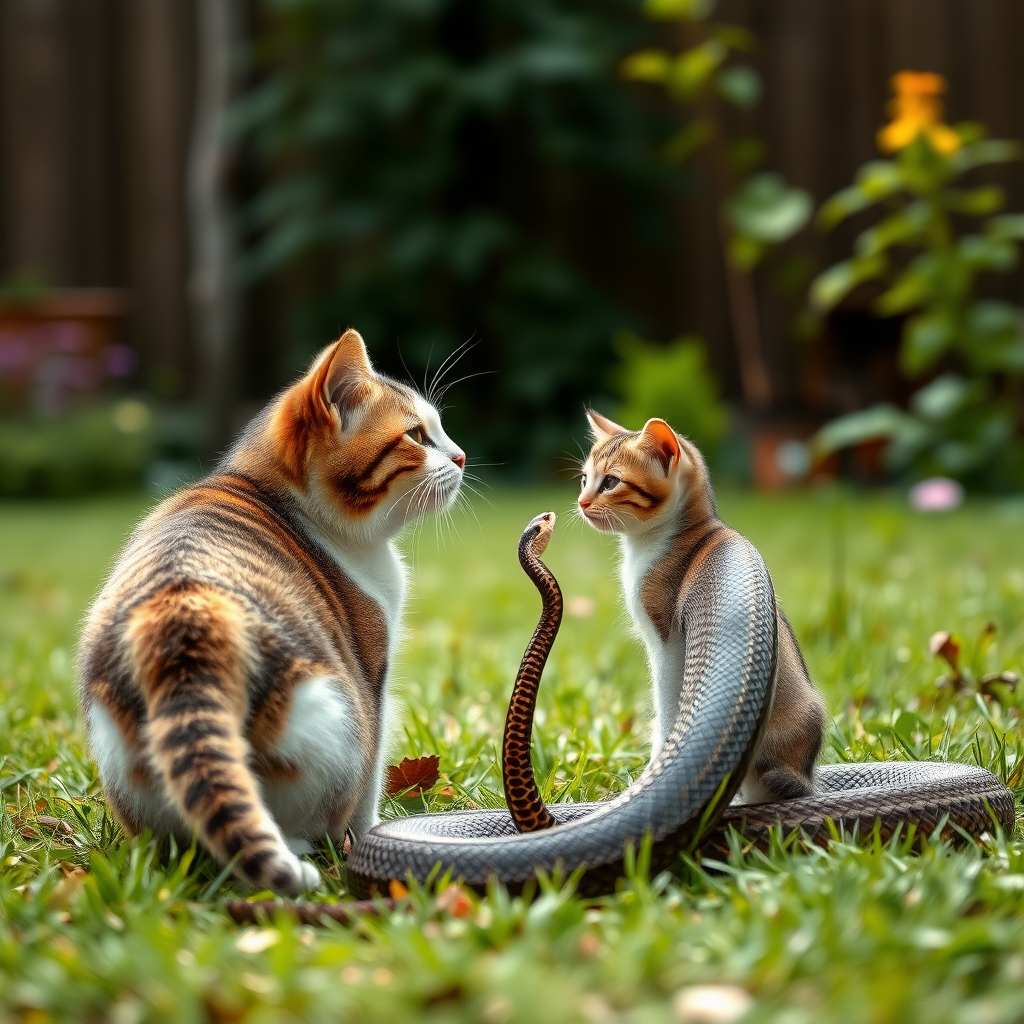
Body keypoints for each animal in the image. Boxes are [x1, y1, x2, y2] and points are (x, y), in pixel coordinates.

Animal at [79, 331, 464, 892]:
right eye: (416, 434)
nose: (461, 456)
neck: (269, 489)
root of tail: (185, 623)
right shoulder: (373, 672)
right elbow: (371, 786)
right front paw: (372, 832)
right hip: (335, 716)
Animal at [577, 411, 823, 802]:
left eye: (611, 482)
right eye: (585, 480)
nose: (582, 502)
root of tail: (803, 773)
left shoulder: (665, 641)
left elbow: (666, 706)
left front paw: (656, 768)